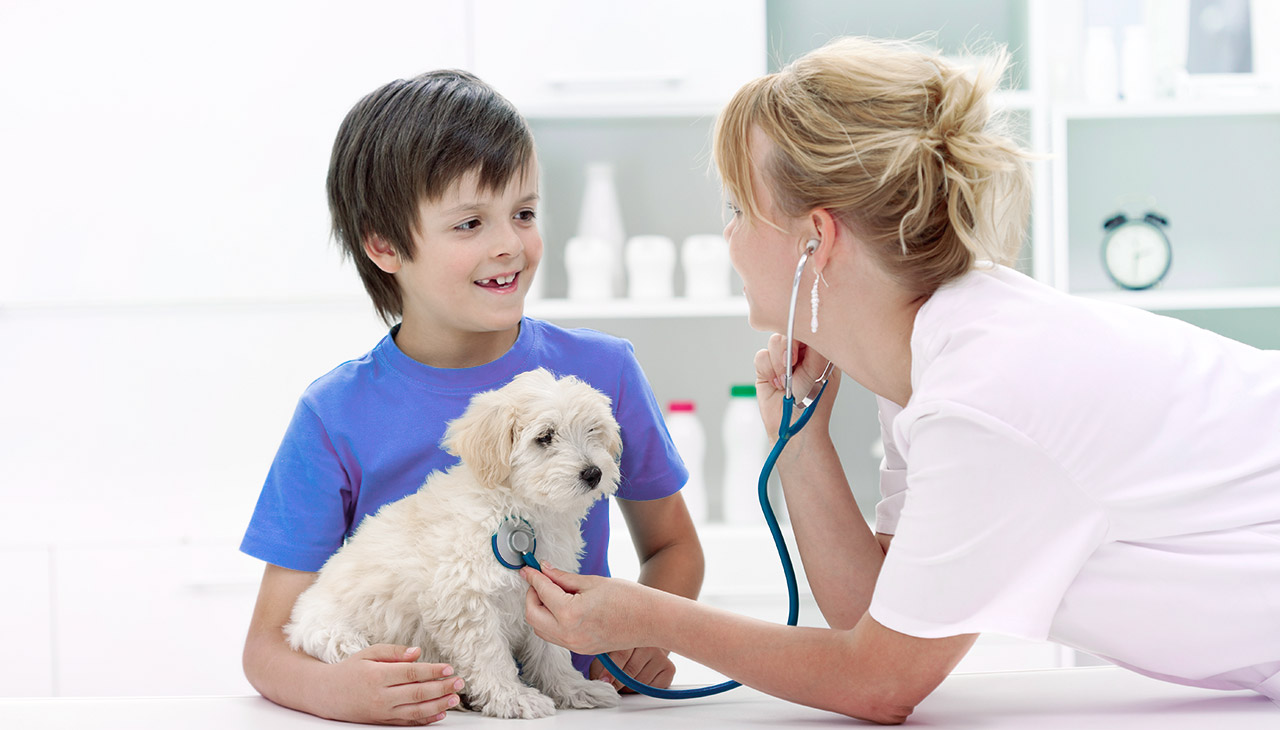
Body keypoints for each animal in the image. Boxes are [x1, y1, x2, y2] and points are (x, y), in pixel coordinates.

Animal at [291, 366, 629, 717]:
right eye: (545, 437)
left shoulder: (543, 593)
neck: (516, 506)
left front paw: (573, 689)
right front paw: (513, 697)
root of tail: (298, 623)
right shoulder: (465, 597)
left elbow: (553, 649)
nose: (593, 473)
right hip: (339, 635)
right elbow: (490, 655)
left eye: (593, 430)